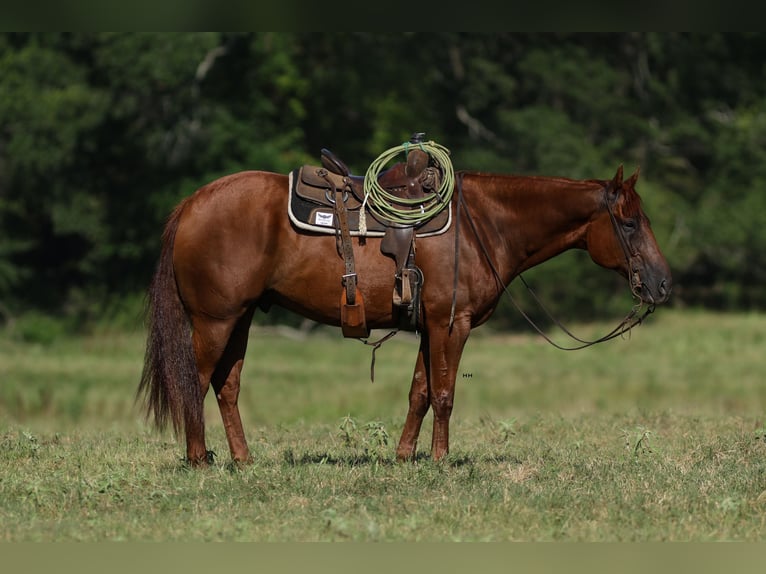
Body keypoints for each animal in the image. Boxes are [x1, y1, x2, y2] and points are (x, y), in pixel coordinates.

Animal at [136, 163, 672, 468]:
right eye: (629, 223)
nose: (663, 283)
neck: (483, 225)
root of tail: (191, 204)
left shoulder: (428, 326)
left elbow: (419, 392)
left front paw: (404, 456)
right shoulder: (451, 324)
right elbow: (445, 393)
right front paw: (439, 460)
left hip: (241, 318)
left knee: (226, 385)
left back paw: (243, 460)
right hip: (215, 320)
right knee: (193, 381)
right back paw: (199, 460)